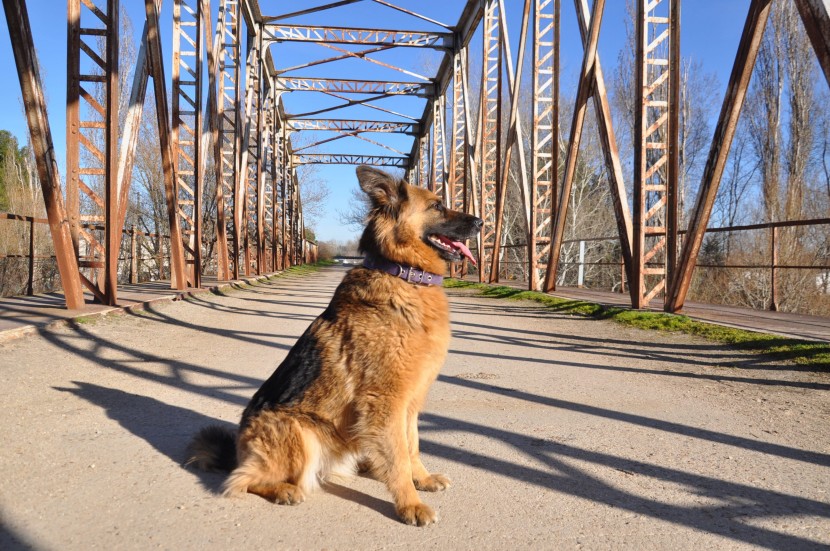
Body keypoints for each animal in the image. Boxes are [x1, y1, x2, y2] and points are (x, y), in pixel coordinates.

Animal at [189, 166, 484, 528]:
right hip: (298, 431)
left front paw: (422, 479)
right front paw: (409, 503)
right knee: (245, 479)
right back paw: (284, 489)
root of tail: (237, 453)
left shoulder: (409, 404)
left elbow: (411, 446)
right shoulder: (386, 401)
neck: (402, 273)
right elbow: (399, 456)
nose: (481, 222)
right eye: (437, 206)